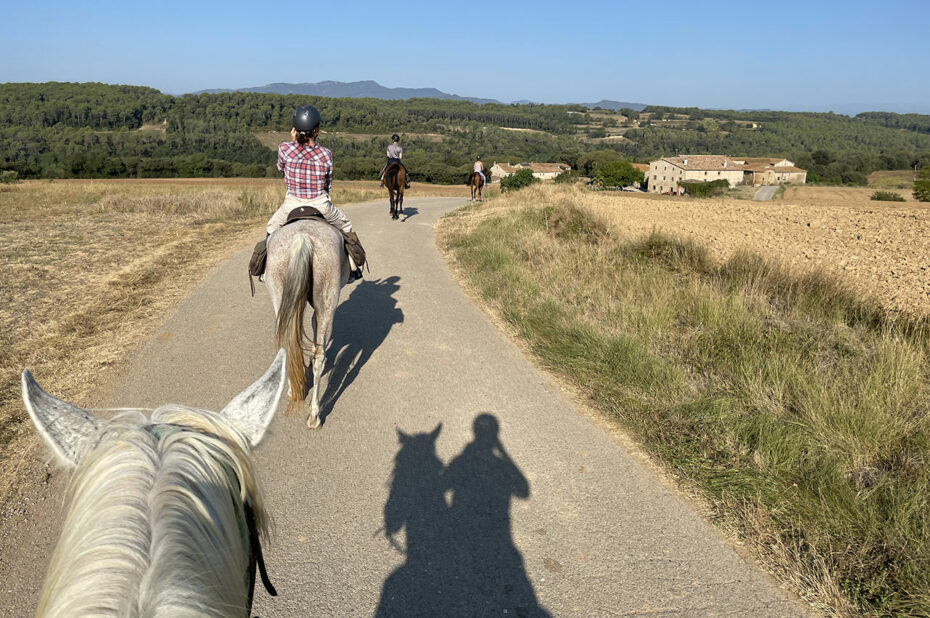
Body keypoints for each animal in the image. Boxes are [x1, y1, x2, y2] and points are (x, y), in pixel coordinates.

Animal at [262, 219, 346, 426]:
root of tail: (303, 237)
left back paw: (295, 389)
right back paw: (314, 415)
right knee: (319, 355)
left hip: (279, 295)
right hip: (327, 301)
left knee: (287, 345)